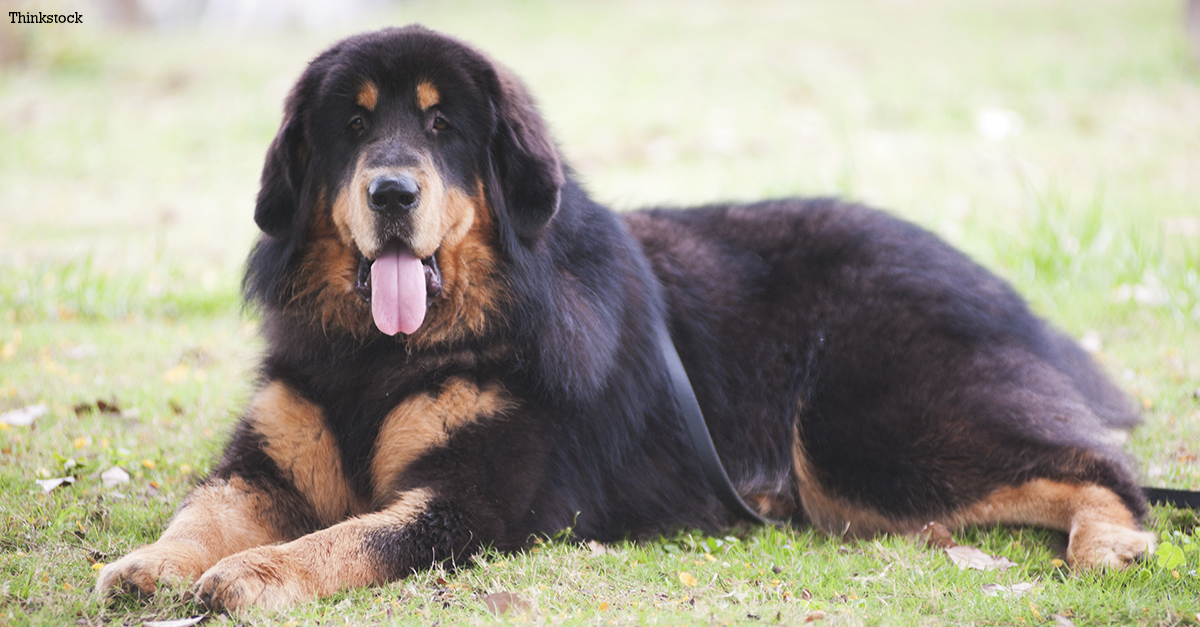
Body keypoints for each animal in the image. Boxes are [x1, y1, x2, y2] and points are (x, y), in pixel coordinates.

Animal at [98, 26, 1156, 607]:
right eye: (352, 125)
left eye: (443, 127)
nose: (392, 190)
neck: (384, 356)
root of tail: (989, 279)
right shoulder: (265, 464)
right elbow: (201, 511)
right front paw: (148, 563)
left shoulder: (472, 500)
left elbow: (344, 539)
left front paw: (256, 575)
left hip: (863, 434)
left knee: (1103, 465)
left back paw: (1113, 544)